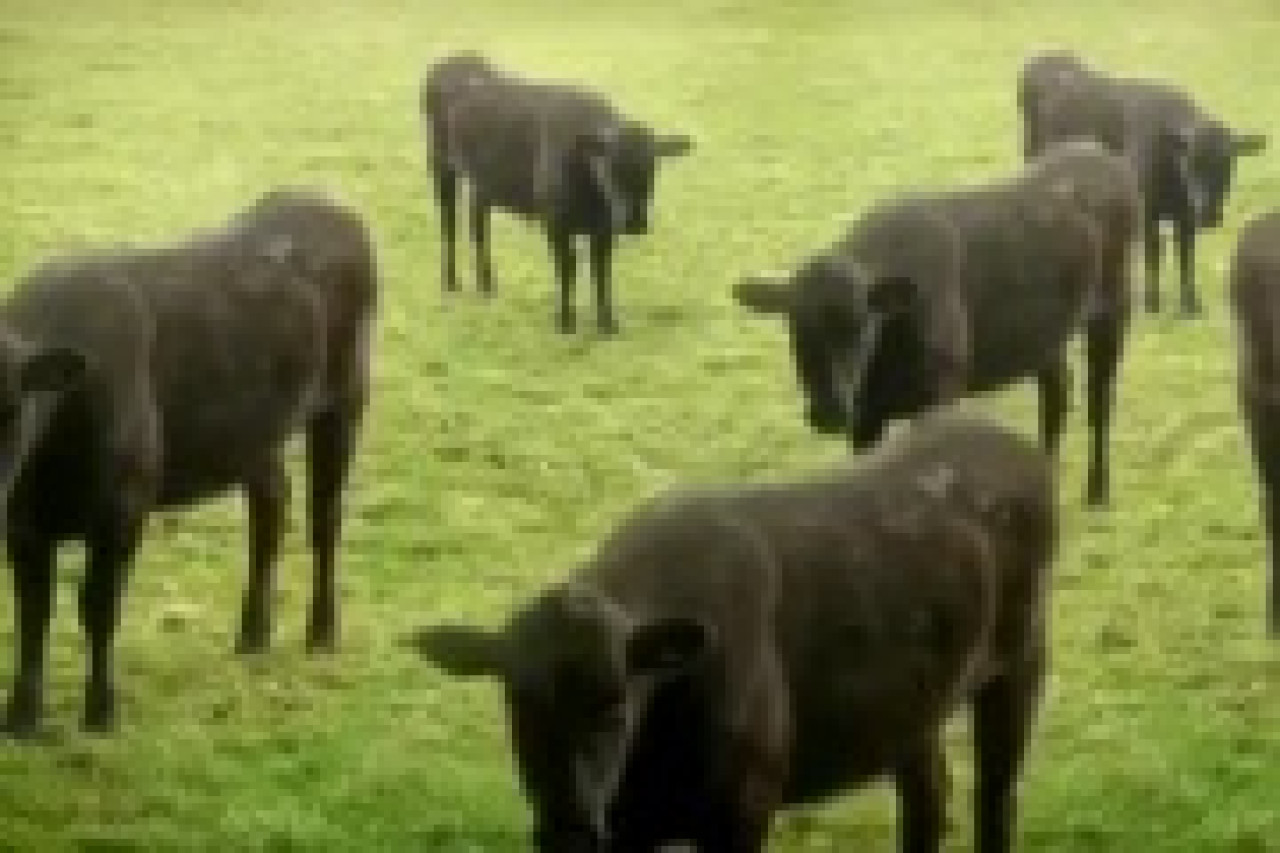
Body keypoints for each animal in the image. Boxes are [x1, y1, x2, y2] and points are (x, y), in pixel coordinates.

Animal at [0, 189, 376, 736]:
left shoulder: (123, 509)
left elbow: (98, 605)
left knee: (325, 517)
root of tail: (318, 202)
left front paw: (100, 711)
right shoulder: (22, 522)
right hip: (255, 430)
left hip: (344, 399)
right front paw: (21, 718)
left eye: (10, 408)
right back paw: (253, 637)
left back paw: (322, 633)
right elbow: (33, 610)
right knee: (271, 508)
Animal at [411, 412, 1056, 851]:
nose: (569, 826)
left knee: (996, 799)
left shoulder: (741, 810)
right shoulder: (625, 831)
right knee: (928, 796)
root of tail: (1004, 438)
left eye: (617, 703)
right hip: (912, 705)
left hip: (1020, 662)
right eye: (518, 703)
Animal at [421, 52, 692, 334]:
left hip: (482, 182)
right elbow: (567, 268)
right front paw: (565, 321)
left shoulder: (604, 229)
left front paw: (607, 323)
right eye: (608, 168)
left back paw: (487, 285)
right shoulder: (555, 223)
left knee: (478, 226)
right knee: (449, 224)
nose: (634, 222)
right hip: (440, 163)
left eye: (652, 168)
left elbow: (602, 271)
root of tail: (456, 58)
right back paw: (451, 283)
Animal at [735, 140, 1141, 507]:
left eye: (861, 324)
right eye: (794, 324)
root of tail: (1099, 155)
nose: (828, 410)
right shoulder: (864, 417)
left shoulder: (942, 394)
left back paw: (1098, 490)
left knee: (1100, 396)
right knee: (1057, 391)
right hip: (1045, 336)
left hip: (1113, 307)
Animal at [1019, 50, 1267, 314]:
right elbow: (1154, 251)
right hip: (1032, 152)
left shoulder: (1186, 216)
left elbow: (1186, 254)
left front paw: (1190, 303)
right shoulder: (1148, 210)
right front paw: (1152, 302)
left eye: (1228, 163)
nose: (1209, 213)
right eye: (1189, 163)